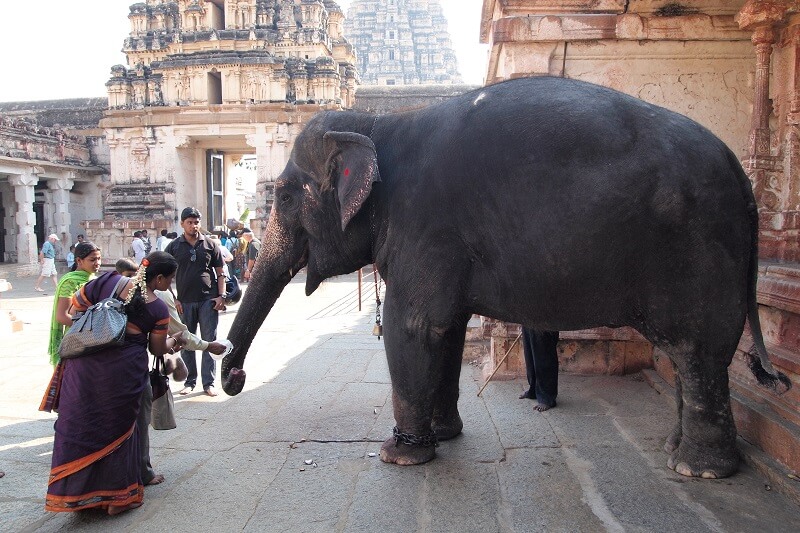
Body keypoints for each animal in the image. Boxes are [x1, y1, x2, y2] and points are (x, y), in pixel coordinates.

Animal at [222, 76, 790, 479]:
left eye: (286, 195)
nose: (235, 378)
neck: (379, 123)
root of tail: (744, 179)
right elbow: (446, 330)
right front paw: (445, 436)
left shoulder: (426, 225)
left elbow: (413, 327)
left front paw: (398, 458)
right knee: (693, 358)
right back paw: (678, 452)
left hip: (700, 252)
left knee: (697, 351)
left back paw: (698, 470)